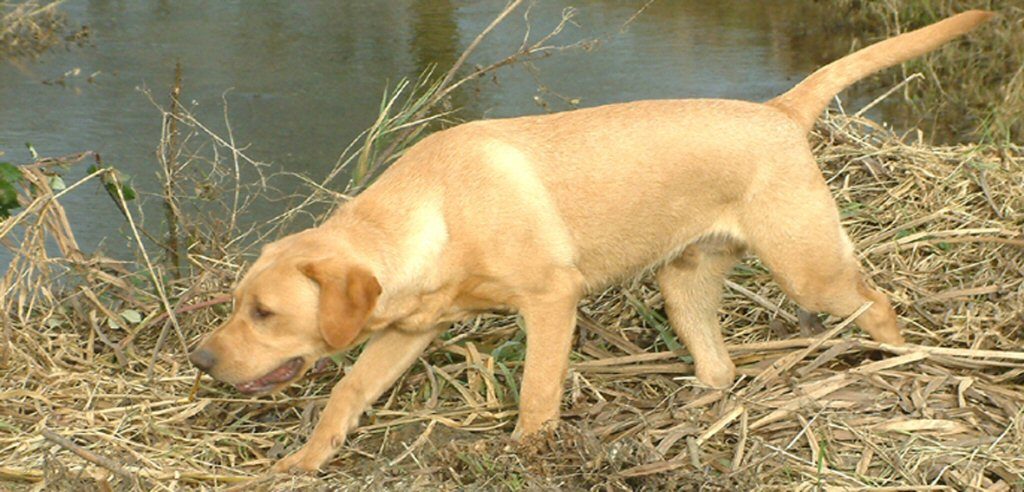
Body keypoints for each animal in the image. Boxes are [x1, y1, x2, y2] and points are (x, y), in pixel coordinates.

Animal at [190, 11, 991, 473]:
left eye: (264, 313)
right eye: (237, 305)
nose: (199, 360)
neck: (435, 210)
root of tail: (780, 112)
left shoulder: (551, 301)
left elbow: (537, 391)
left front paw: (525, 454)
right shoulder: (407, 329)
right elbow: (347, 391)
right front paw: (303, 460)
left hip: (809, 268)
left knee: (878, 305)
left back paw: (903, 366)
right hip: (683, 282)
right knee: (721, 366)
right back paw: (694, 414)